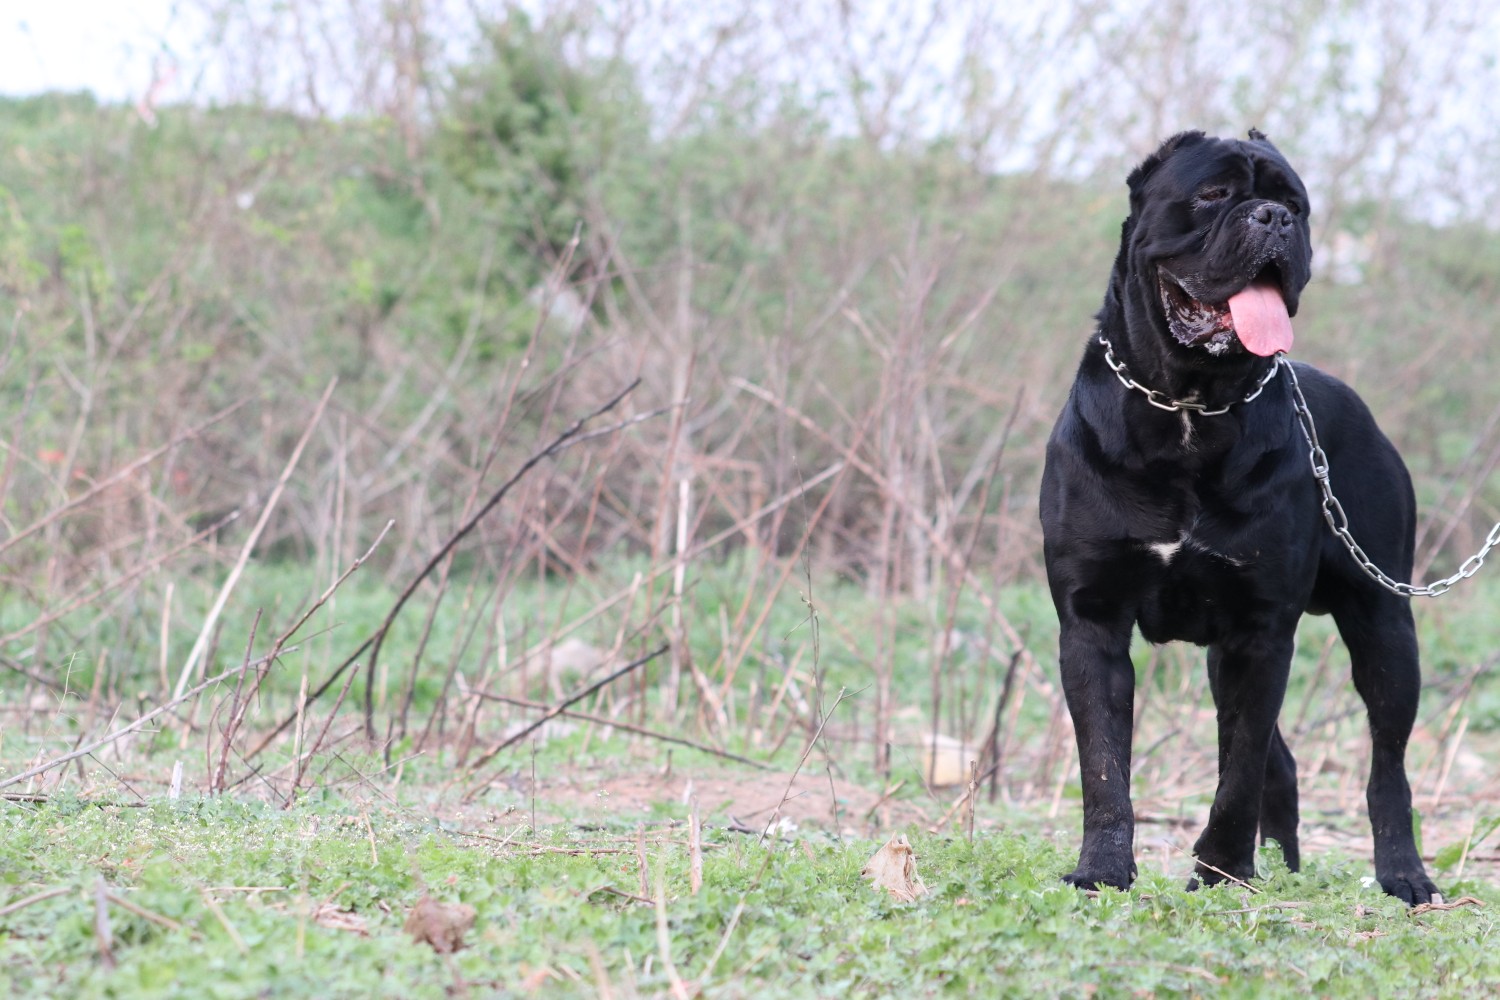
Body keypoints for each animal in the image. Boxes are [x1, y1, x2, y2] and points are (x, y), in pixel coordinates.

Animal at [1038, 128, 1434, 905]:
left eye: (1295, 204)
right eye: (1214, 194)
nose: (1272, 220)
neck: (1189, 407)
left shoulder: (1260, 631)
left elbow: (1239, 768)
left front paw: (1221, 871)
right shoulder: (1092, 621)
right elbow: (1104, 767)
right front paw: (1102, 871)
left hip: (1383, 624)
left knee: (1387, 764)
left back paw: (1403, 874)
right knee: (1283, 762)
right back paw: (1284, 864)